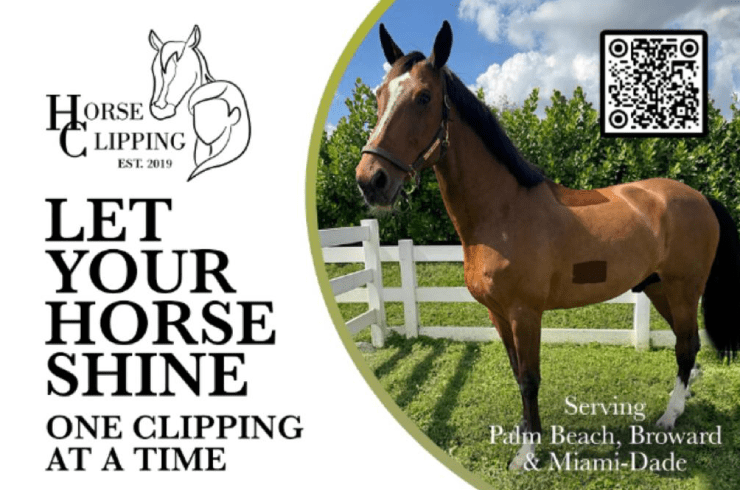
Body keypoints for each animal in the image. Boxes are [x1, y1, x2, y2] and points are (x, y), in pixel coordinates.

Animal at [354, 21, 740, 470]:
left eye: (424, 97)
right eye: (380, 96)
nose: (371, 180)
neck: (502, 211)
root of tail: (699, 197)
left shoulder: (525, 313)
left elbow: (529, 377)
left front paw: (528, 452)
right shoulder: (498, 313)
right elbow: (514, 369)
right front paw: (523, 432)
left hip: (683, 288)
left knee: (687, 345)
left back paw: (670, 415)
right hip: (659, 287)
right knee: (685, 344)